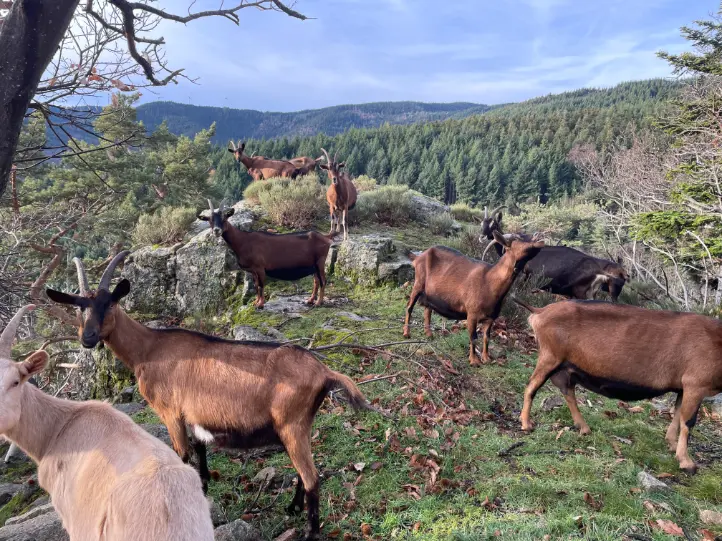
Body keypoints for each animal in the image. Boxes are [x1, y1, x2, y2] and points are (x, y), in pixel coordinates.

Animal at [47, 254, 372, 540]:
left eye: (110, 303)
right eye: (79, 307)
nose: (87, 338)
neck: (148, 349)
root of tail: (324, 371)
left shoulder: (170, 412)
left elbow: (182, 455)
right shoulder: (193, 415)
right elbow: (200, 450)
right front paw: (202, 489)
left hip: (291, 424)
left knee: (312, 477)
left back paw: (310, 532)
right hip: (298, 428)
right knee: (305, 473)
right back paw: (292, 508)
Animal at [198, 199, 334, 308]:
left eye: (225, 218)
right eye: (209, 220)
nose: (216, 230)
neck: (244, 240)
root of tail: (325, 237)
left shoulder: (260, 267)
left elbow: (261, 285)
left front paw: (261, 304)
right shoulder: (253, 270)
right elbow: (256, 285)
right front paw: (255, 302)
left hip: (320, 261)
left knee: (323, 281)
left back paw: (318, 303)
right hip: (313, 265)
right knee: (316, 281)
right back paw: (310, 300)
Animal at [403, 232, 544, 365]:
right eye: (519, 241)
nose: (540, 239)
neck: (489, 282)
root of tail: (419, 256)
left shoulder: (491, 318)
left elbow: (486, 337)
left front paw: (486, 358)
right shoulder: (471, 314)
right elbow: (473, 337)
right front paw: (474, 361)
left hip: (430, 294)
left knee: (427, 310)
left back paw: (429, 334)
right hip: (418, 282)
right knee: (409, 306)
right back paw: (406, 333)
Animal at [514, 298, 722, 474]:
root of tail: (540, 311)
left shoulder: (683, 388)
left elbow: (678, 415)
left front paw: (671, 444)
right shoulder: (695, 385)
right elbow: (688, 422)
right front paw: (687, 463)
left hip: (564, 366)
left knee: (567, 390)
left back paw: (583, 427)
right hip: (550, 357)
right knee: (531, 387)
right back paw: (526, 424)